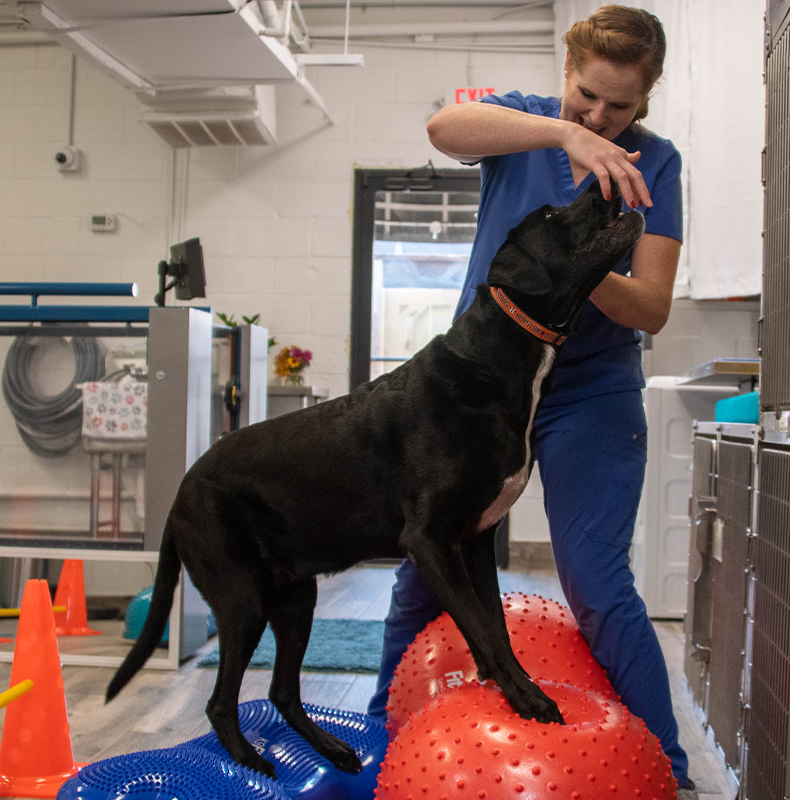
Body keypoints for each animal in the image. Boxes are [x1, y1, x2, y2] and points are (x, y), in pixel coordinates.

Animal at [108, 180, 648, 776]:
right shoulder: (430, 541)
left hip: (296, 598)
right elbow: (481, 626)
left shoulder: (477, 540)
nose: (602, 182)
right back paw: (253, 763)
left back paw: (332, 749)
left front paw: (506, 687)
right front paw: (528, 701)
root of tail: (181, 490)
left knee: (282, 692)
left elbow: (496, 627)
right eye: (552, 214)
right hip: (242, 596)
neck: (504, 357)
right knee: (220, 701)